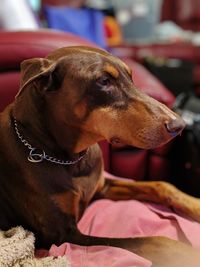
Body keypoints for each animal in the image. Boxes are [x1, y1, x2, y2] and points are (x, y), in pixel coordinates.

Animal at [0, 46, 200, 267]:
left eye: (131, 76)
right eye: (104, 81)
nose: (179, 125)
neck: (71, 161)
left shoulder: (101, 186)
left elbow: (162, 185)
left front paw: (197, 206)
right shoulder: (62, 234)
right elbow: (152, 241)